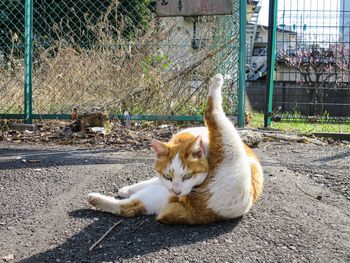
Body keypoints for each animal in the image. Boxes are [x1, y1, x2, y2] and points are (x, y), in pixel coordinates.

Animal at [87, 73, 262, 225]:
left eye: (188, 176)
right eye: (168, 176)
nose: (176, 192)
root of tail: (200, 214)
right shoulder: (163, 181)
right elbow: (151, 180)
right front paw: (126, 189)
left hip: (229, 142)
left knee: (213, 112)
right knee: (130, 208)